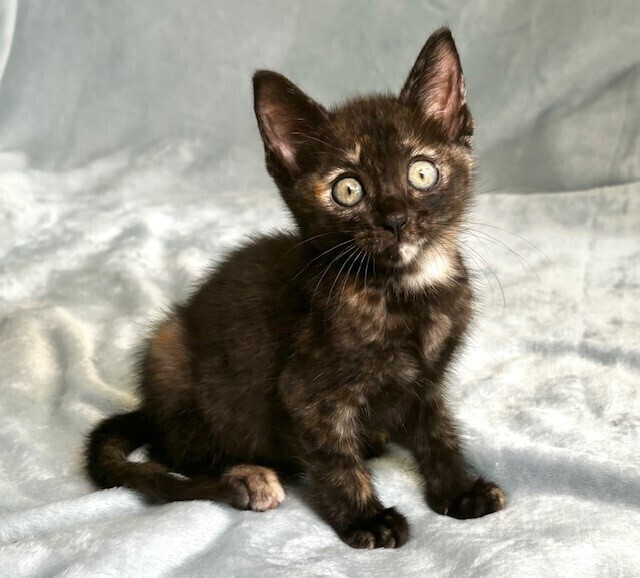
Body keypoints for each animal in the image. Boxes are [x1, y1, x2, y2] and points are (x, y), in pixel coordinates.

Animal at [86, 27, 505, 549]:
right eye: (348, 189)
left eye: (421, 172)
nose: (395, 219)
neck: (403, 290)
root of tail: (150, 409)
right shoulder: (306, 392)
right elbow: (334, 458)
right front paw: (367, 517)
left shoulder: (427, 380)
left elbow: (438, 433)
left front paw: (458, 489)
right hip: (169, 349)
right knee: (178, 454)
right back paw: (248, 477)